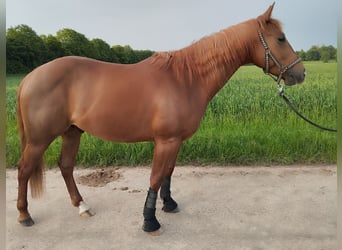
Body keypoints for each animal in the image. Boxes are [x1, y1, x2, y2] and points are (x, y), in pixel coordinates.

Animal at [16, 2, 304, 233]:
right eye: (280, 38)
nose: (300, 73)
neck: (185, 79)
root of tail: (29, 77)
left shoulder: (175, 141)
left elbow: (168, 173)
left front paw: (169, 204)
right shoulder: (166, 141)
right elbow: (155, 177)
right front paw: (149, 221)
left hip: (72, 131)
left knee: (65, 166)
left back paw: (82, 206)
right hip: (39, 139)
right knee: (24, 169)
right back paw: (24, 215)